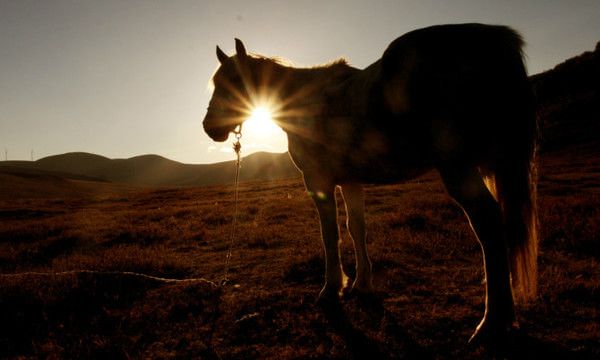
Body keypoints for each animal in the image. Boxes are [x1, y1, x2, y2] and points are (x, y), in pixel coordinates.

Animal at [203, 23, 540, 348]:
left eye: (235, 80)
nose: (209, 128)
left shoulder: (318, 181)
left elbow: (330, 235)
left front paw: (331, 289)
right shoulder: (351, 182)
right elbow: (356, 228)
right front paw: (361, 284)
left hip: (458, 168)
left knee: (488, 225)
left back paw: (491, 323)